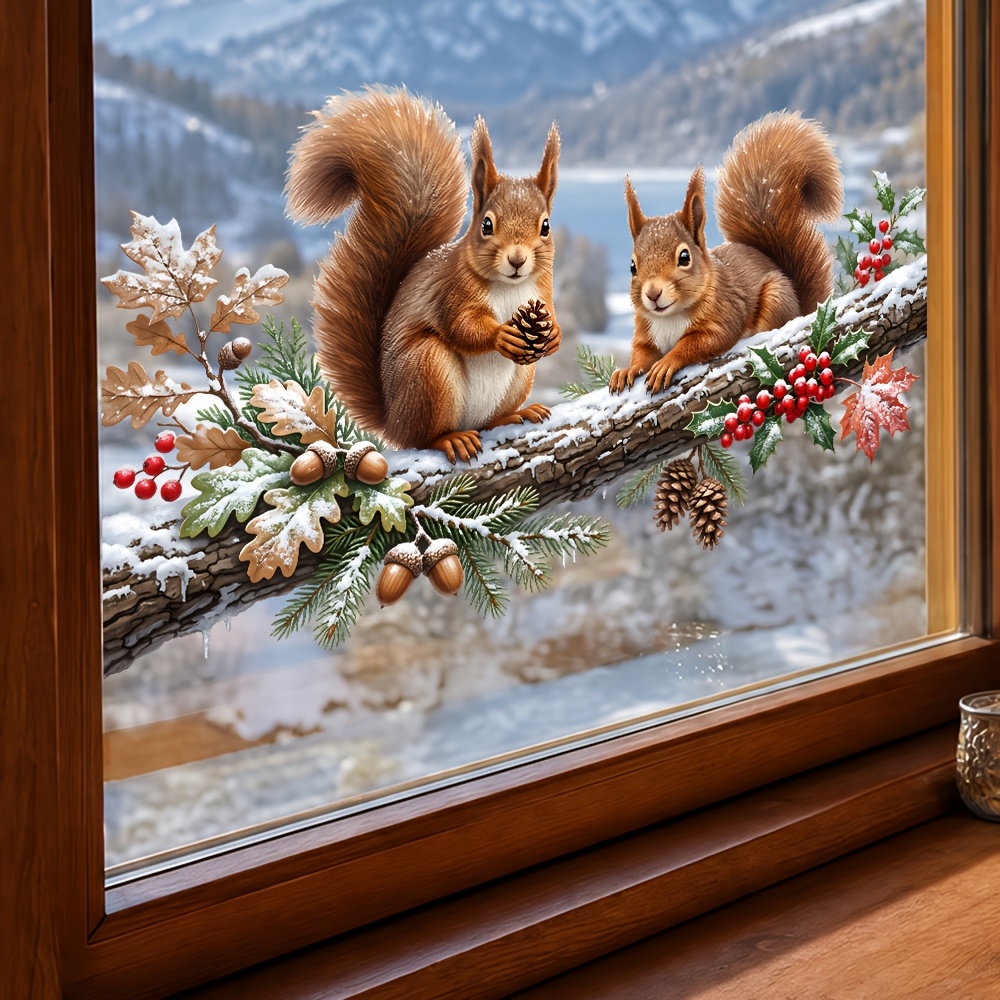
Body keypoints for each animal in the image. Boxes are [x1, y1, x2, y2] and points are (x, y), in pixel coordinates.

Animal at [285, 87, 562, 463]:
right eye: (487, 225)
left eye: (545, 226)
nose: (517, 260)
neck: (510, 288)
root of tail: (393, 420)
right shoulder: (450, 291)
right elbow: (462, 326)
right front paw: (501, 335)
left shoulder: (542, 292)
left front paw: (555, 335)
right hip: (427, 370)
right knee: (424, 436)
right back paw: (450, 439)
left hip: (518, 377)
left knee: (489, 421)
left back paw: (514, 415)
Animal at [609, 111, 843, 395]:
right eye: (632, 266)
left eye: (684, 257)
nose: (652, 294)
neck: (670, 317)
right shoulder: (646, 330)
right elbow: (642, 353)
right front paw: (628, 370)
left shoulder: (724, 313)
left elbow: (700, 342)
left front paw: (667, 362)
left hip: (776, 297)